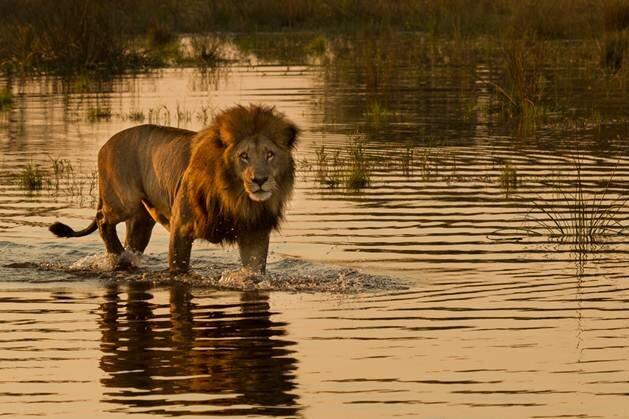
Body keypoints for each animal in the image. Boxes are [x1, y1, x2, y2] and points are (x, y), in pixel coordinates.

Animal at [47, 105, 298, 274]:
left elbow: (253, 271)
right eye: (244, 156)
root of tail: (106, 144)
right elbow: (179, 268)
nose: (260, 180)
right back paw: (117, 256)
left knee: (131, 243)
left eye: (270, 154)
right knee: (102, 218)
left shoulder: (254, 232)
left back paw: (126, 258)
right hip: (124, 201)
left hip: (141, 221)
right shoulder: (181, 226)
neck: (235, 197)